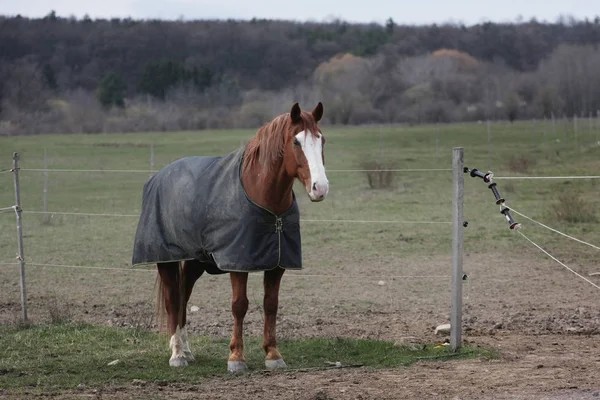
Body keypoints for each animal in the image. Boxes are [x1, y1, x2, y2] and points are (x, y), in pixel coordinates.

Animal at [132, 102, 328, 372]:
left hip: (195, 261)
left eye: (322, 140)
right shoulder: (238, 263)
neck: (262, 196)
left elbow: (271, 304)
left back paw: (187, 350)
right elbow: (239, 305)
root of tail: (158, 177)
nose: (321, 188)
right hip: (166, 259)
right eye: (296, 142)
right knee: (173, 299)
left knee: (184, 296)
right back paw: (178, 354)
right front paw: (236, 357)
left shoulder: (277, 264)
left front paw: (273, 354)